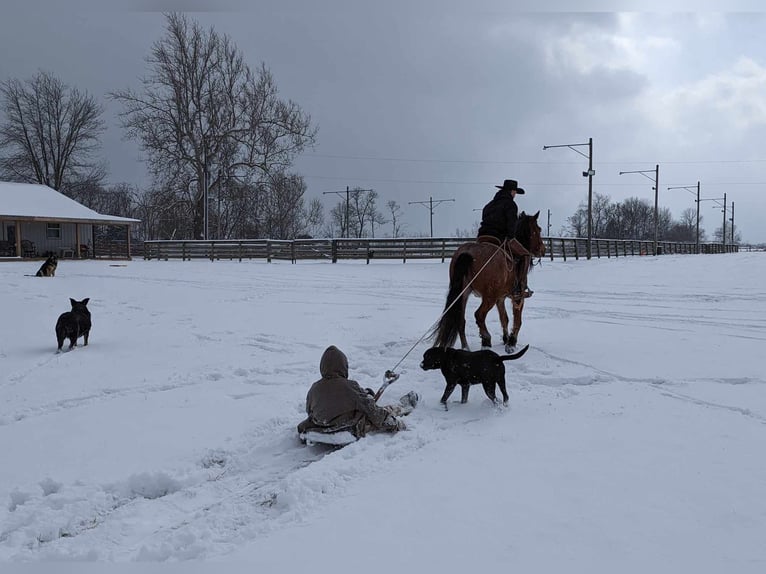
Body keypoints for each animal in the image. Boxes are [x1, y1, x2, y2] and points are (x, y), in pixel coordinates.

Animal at [432, 213, 544, 354]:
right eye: (538, 229)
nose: (543, 249)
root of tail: (467, 253)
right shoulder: (517, 297)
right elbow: (517, 320)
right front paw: (511, 343)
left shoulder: (500, 298)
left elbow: (504, 318)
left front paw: (506, 339)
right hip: (489, 297)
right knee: (479, 315)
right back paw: (486, 340)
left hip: (464, 293)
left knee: (461, 320)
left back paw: (466, 347)